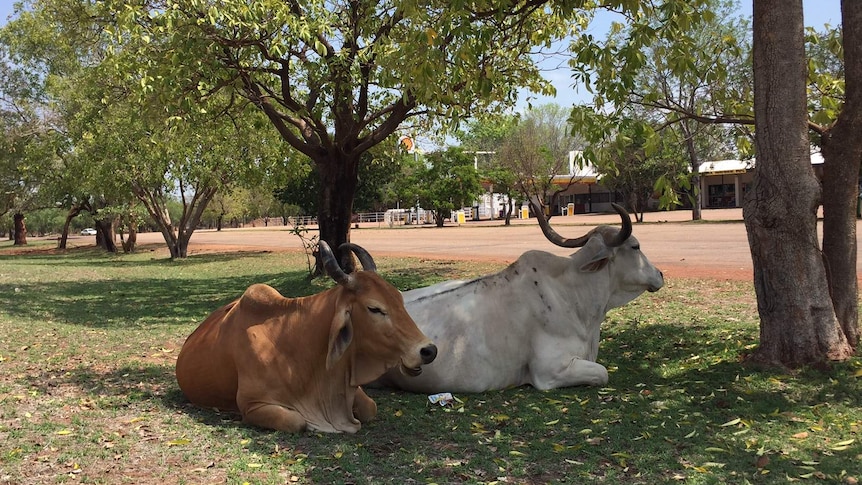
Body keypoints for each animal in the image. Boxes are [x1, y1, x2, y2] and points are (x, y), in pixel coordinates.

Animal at [174, 240, 438, 432]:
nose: (428, 350)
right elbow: (298, 421)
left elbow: (370, 408)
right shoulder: (252, 405)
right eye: (374, 308)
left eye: (399, 299)